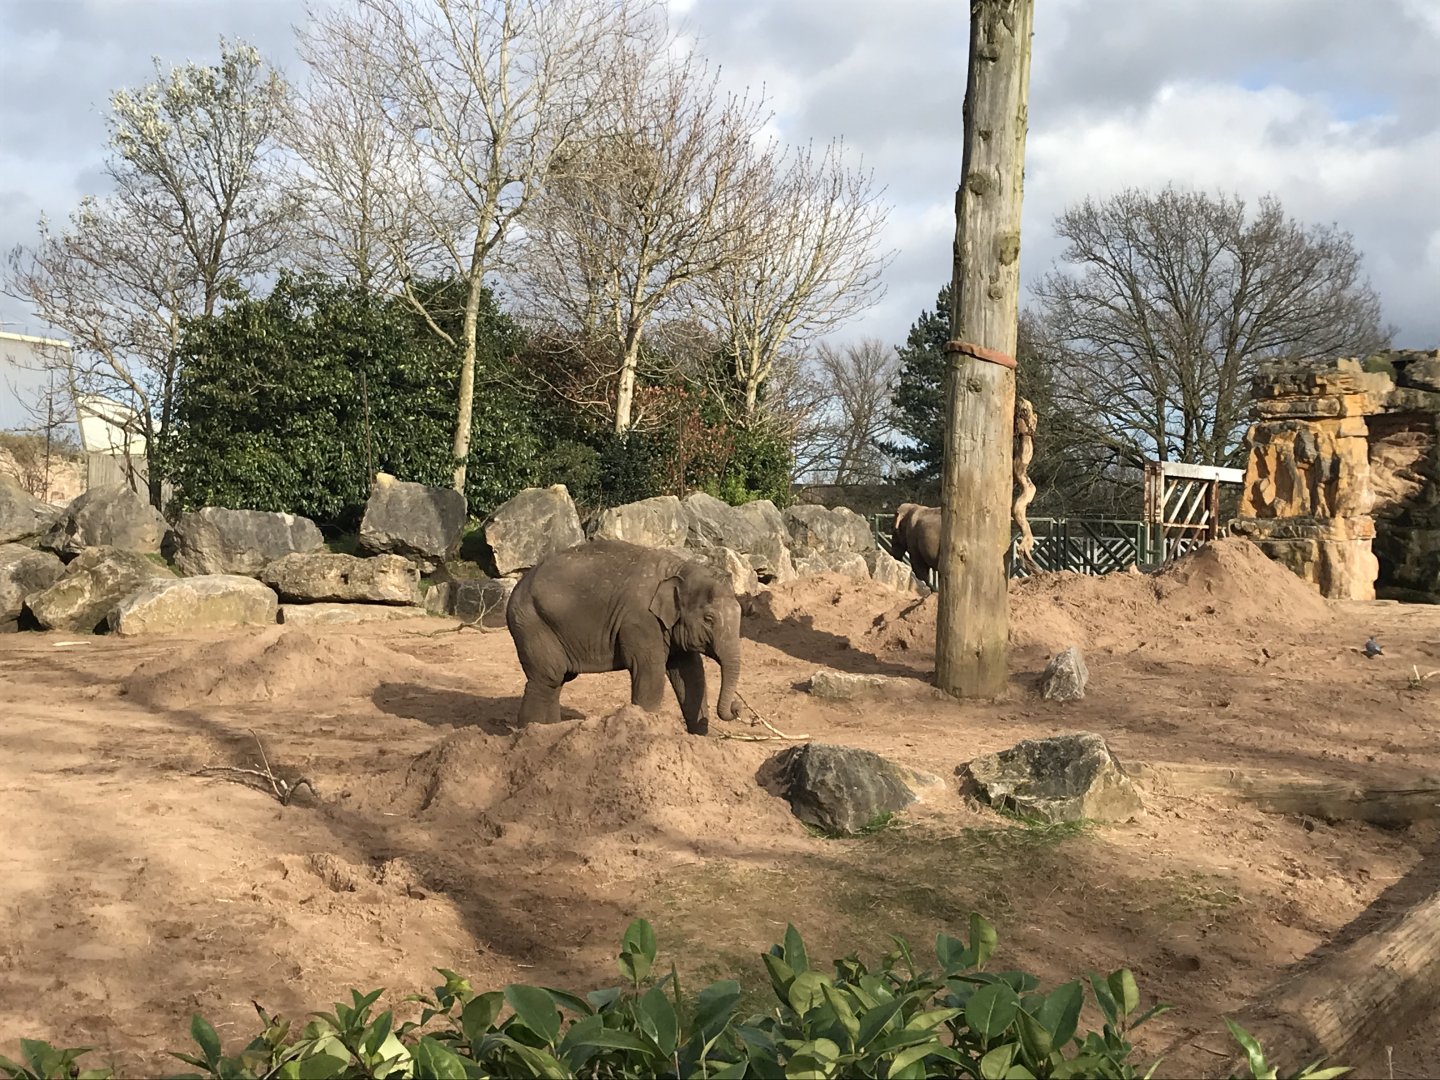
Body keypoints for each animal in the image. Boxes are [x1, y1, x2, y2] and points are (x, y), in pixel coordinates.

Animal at [505, 539, 742, 734]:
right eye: (709, 618)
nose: (737, 707)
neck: (678, 568)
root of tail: (517, 587)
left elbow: (691, 674)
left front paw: (701, 737)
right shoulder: (641, 622)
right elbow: (650, 675)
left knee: (555, 682)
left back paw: (550, 731)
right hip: (532, 624)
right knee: (547, 679)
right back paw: (531, 734)